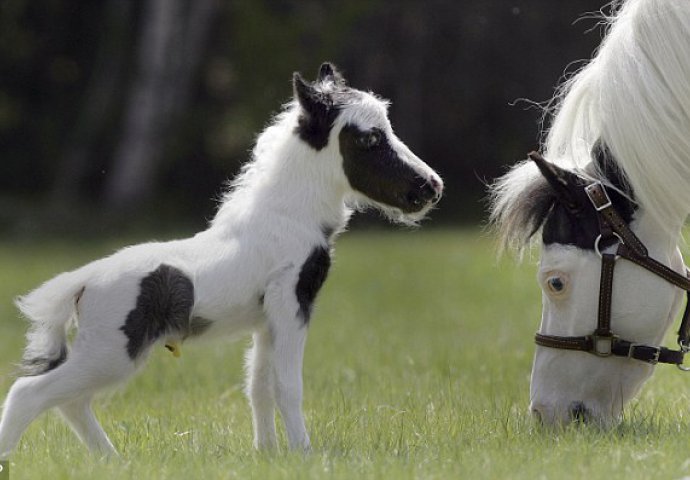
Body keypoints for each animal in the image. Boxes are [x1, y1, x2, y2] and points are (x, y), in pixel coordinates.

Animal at [0, 63, 440, 458]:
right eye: (368, 139)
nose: (431, 187)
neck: (285, 217)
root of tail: (82, 281)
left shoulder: (266, 320)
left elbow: (259, 387)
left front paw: (268, 453)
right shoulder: (291, 303)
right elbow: (287, 385)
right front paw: (304, 454)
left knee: (70, 401)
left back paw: (114, 461)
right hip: (112, 351)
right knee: (30, 393)